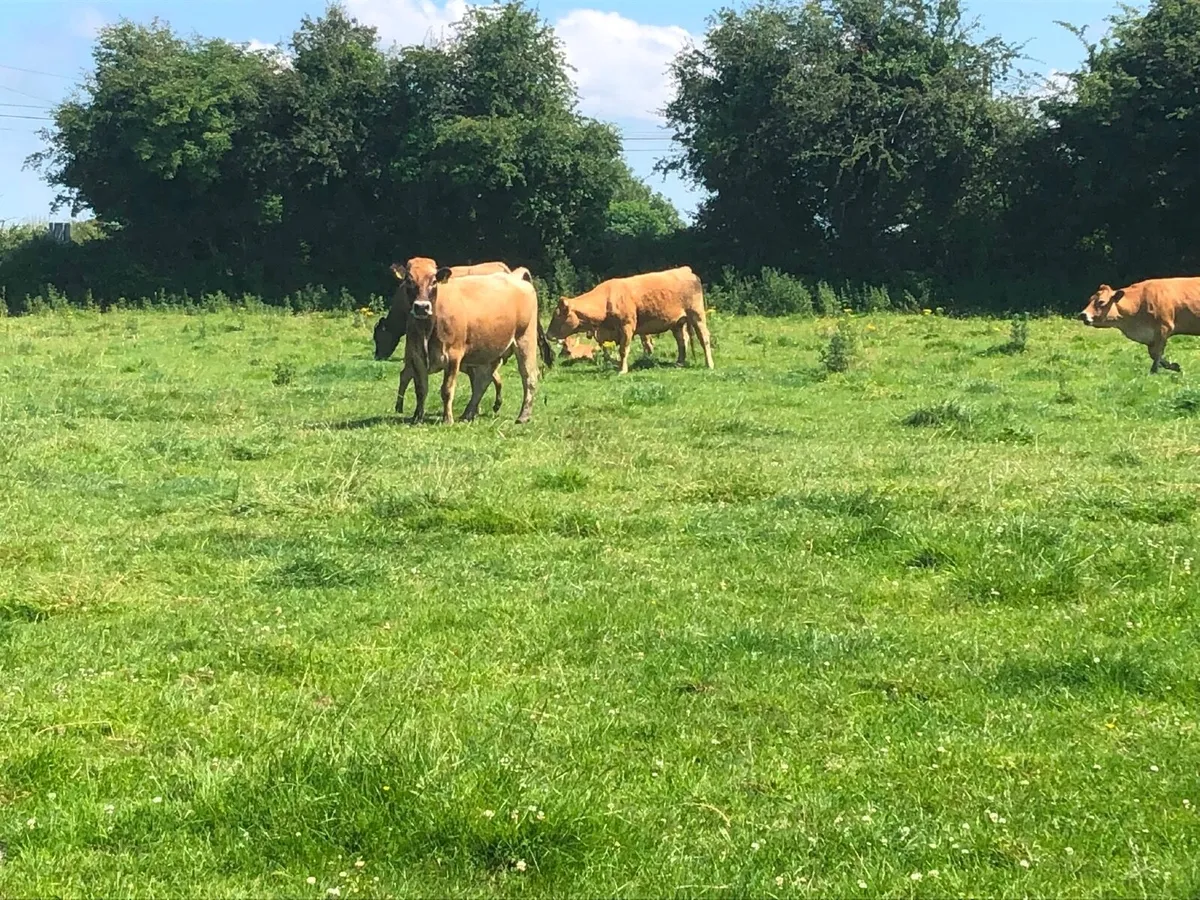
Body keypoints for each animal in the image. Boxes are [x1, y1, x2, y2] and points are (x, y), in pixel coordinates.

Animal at [395, 259, 553, 424]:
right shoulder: (416, 357)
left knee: (529, 376)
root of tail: (514, 276)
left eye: (434, 281)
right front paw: (417, 417)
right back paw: (468, 413)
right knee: (483, 380)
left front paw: (447, 419)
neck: (427, 329)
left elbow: (446, 389)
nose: (421, 307)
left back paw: (523, 415)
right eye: (409, 280)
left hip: (524, 340)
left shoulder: (453, 356)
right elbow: (421, 389)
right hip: (489, 350)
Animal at [546, 267, 713, 374]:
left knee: (703, 338)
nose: (548, 335)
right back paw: (679, 362)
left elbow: (623, 350)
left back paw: (709, 364)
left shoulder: (627, 326)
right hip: (677, 322)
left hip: (697, 315)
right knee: (682, 340)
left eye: (558, 315)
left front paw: (622, 370)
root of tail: (687, 270)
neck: (607, 299)